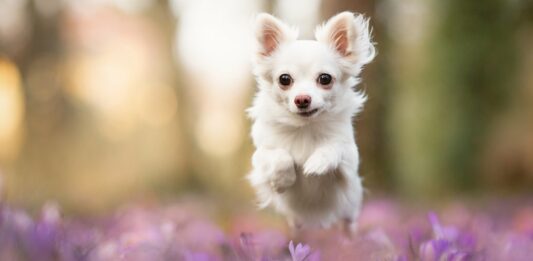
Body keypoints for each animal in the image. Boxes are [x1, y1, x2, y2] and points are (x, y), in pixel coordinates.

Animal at [247, 11, 376, 232]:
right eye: (284, 79)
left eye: (325, 79)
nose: (302, 99)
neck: (305, 128)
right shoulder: (261, 157)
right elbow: (280, 156)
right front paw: (282, 181)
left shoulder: (349, 164)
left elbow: (336, 147)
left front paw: (318, 163)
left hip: (349, 212)